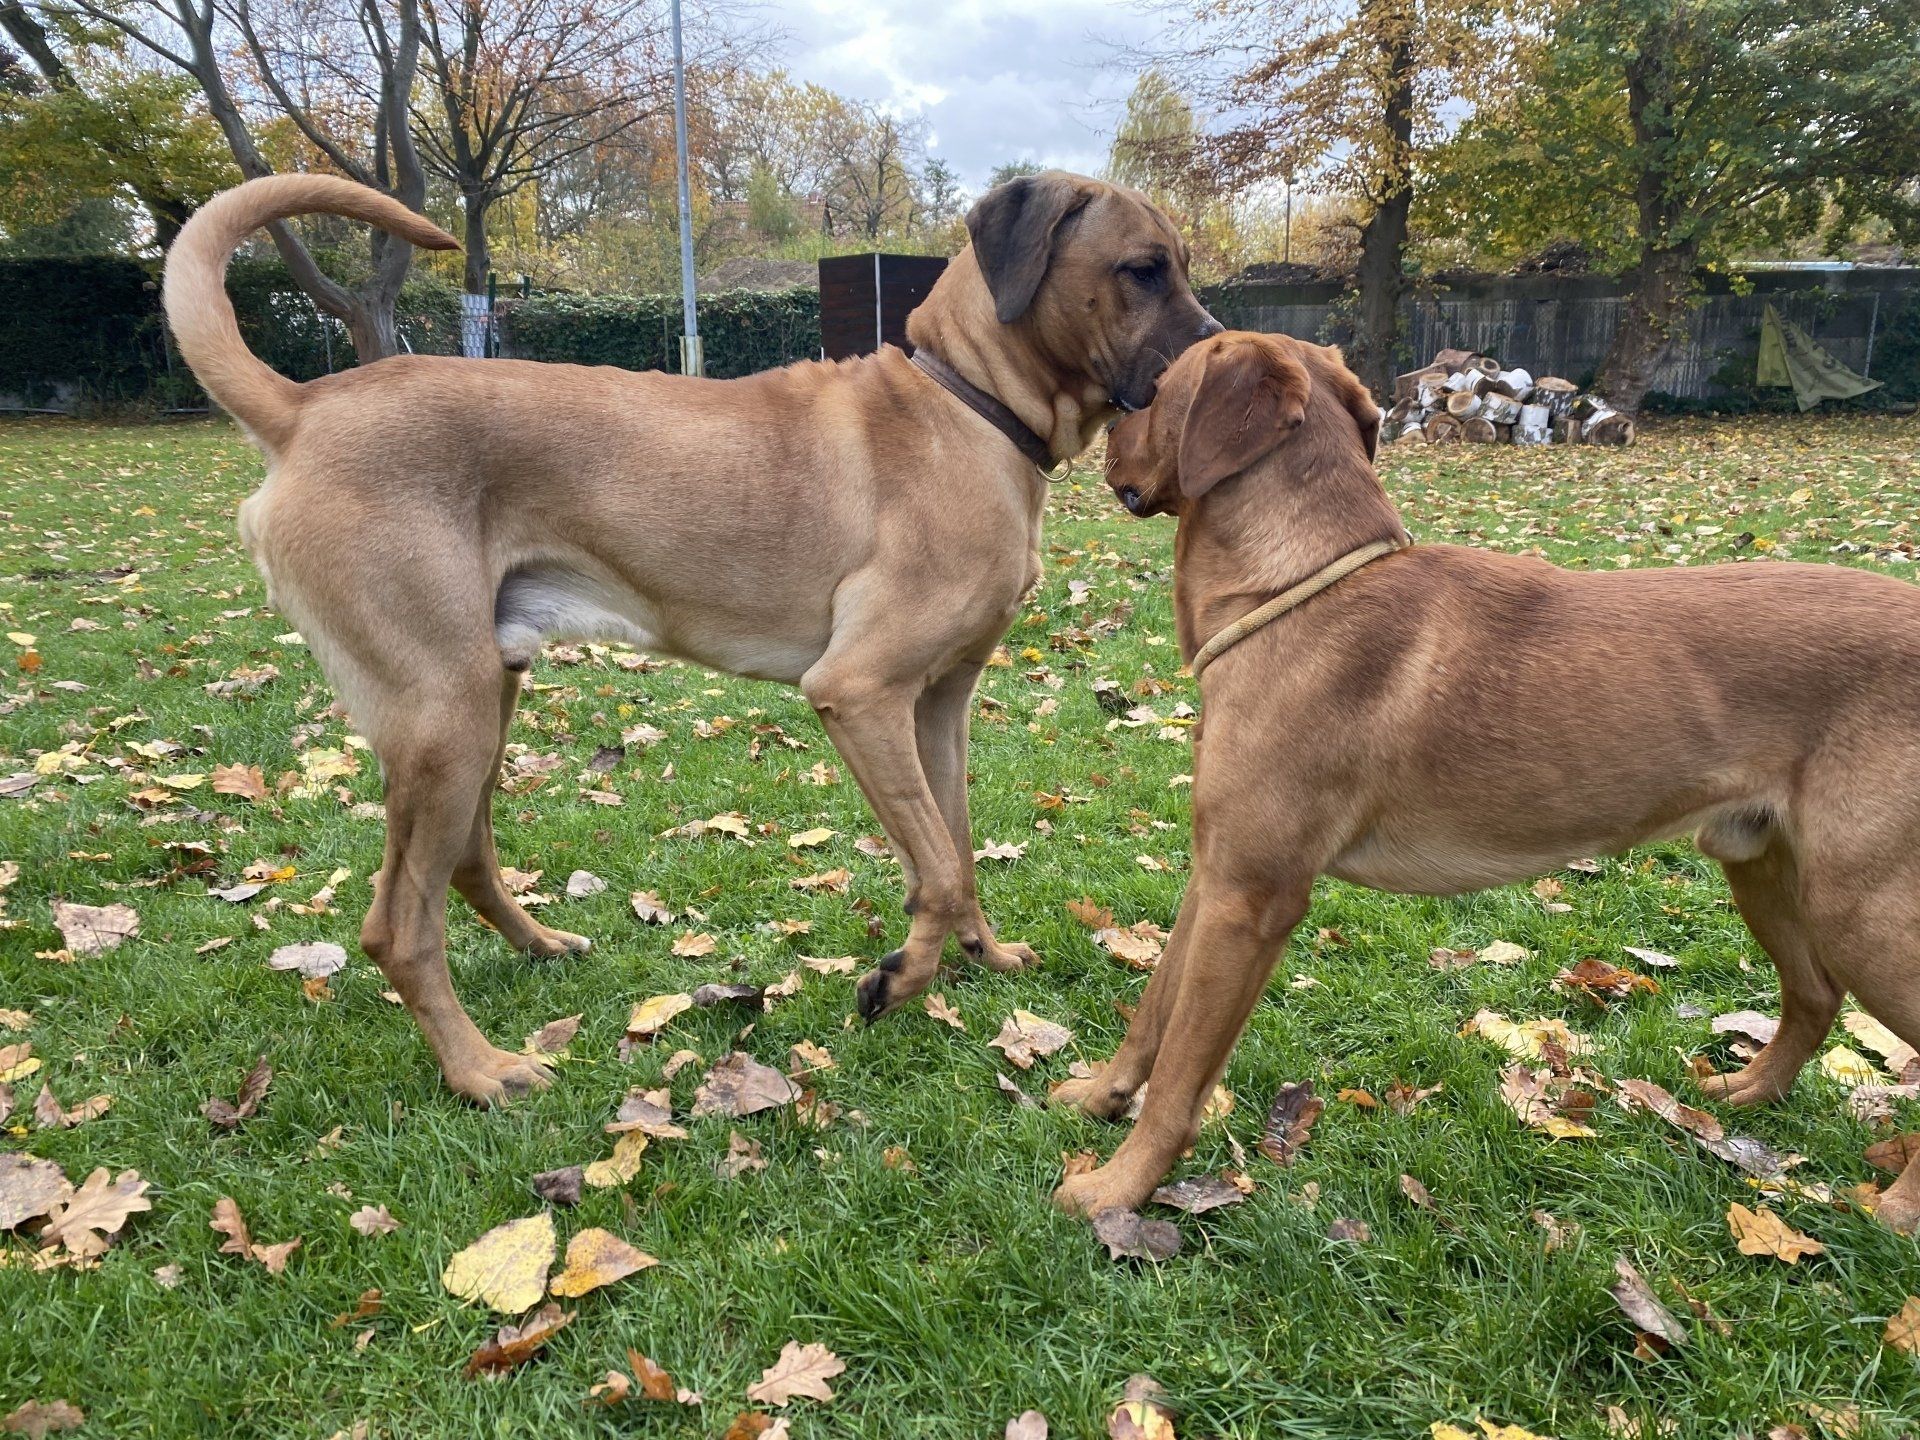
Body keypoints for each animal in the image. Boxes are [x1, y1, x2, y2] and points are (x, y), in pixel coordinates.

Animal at [163, 171, 1218, 1106]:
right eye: (1140, 269)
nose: (1221, 354)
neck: (969, 403)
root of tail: (307, 407)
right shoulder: (861, 692)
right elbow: (942, 868)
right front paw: (899, 981)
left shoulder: (939, 707)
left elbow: (953, 848)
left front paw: (980, 956)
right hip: (441, 717)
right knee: (398, 928)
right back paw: (479, 1070)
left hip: (482, 698)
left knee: (462, 862)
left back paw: (541, 947)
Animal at [1052, 329, 1920, 1233]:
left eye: (1154, 392)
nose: (1095, 436)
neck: (1296, 587)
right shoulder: (1216, 872)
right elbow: (1152, 1014)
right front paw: (1099, 1097)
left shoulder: (1251, 899)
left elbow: (1181, 1078)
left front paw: (1118, 1189)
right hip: (1764, 870)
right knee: (1814, 996)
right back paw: (1747, 1091)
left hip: (1861, 908)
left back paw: (1898, 1208)